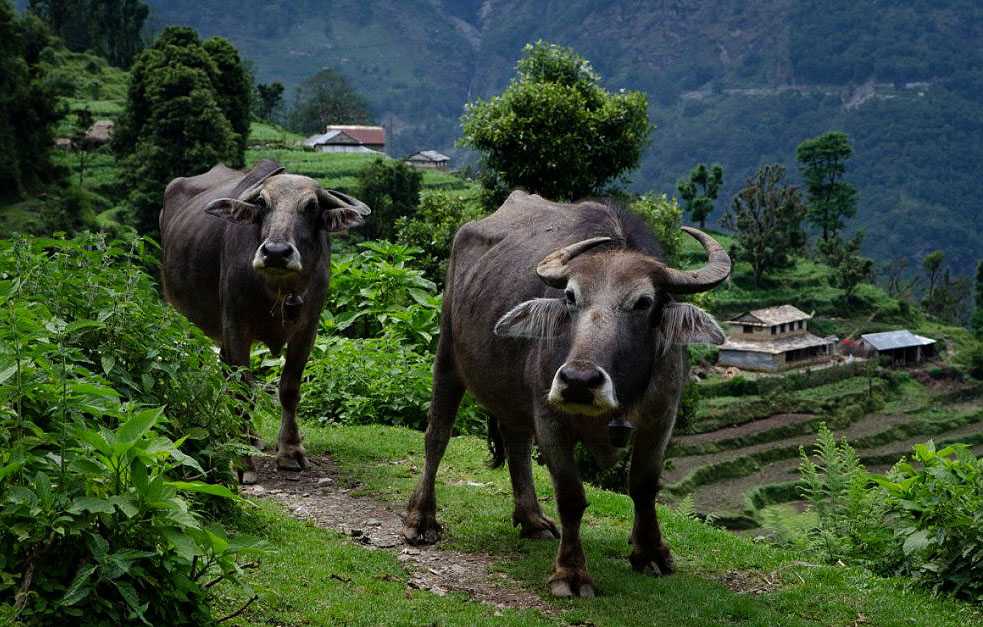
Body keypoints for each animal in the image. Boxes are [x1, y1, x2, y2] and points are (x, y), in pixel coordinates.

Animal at [161, 159, 368, 484]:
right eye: (262, 203)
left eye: (311, 206)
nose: (276, 252)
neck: (278, 289)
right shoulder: (235, 327)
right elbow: (243, 391)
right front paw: (242, 461)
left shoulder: (307, 329)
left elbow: (289, 388)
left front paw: (291, 452)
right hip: (182, 315)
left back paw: (251, 439)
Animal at [404, 193, 736, 600]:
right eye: (570, 296)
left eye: (643, 302)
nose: (578, 381)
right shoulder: (551, 418)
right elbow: (571, 495)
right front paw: (571, 573)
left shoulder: (662, 416)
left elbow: (643, 485)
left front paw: (650, 552)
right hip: (448, 356)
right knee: (437, 435)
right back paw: (422, 519)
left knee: (515, 443)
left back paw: (531, 519)